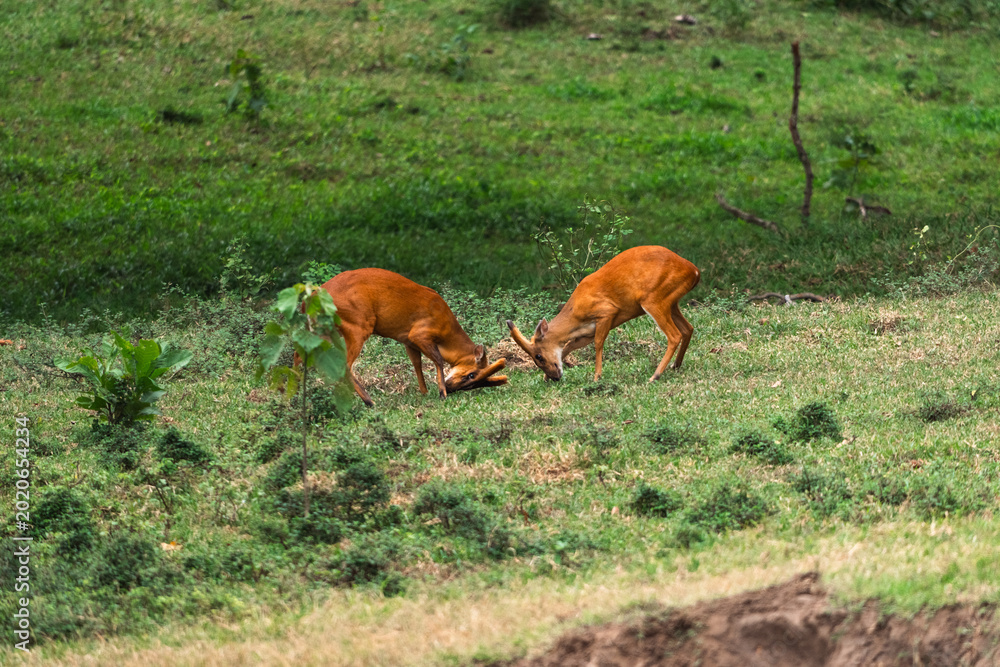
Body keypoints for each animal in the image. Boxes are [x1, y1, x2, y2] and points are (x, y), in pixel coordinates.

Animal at [320, 268, 507, 406]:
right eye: (471, 375)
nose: (451, 389)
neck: (446, 330)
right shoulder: (419, 334)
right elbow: (438, 359)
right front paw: (441, 393)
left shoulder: (407, 340)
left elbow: (417, 363)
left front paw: (424, 393)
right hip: (358, 326)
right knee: (345, 365)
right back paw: (370, 402)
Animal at [507, 246, 700, 383]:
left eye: (538, 356)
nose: (555, 377)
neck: (574, 314)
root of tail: (695, 271)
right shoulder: (586, 333)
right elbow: (570, 345)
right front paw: (547, 377)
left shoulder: (607, 311)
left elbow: (598, 343)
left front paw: (596, 377)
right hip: (671, 302)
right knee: (688, 328)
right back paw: (675, 365)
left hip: (653, 299)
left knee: (674, 335)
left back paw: (655, 376)